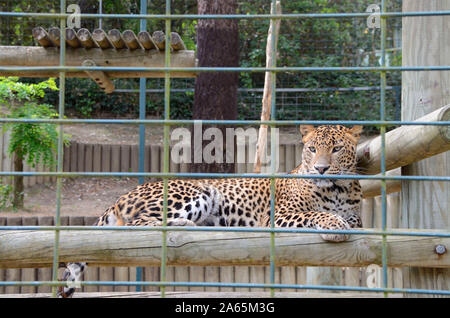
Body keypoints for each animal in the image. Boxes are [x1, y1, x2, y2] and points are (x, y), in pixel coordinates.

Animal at [57, 123, 362, 296]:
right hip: (196, 192)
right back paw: (182, 226)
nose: (320, 168)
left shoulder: (357, 216)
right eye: (311, 149)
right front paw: (335, 225)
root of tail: (123, 196)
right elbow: (315, 213)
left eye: (336, 149)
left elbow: (351, 220)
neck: (337, 189)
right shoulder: (277, 216)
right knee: (136, 226)